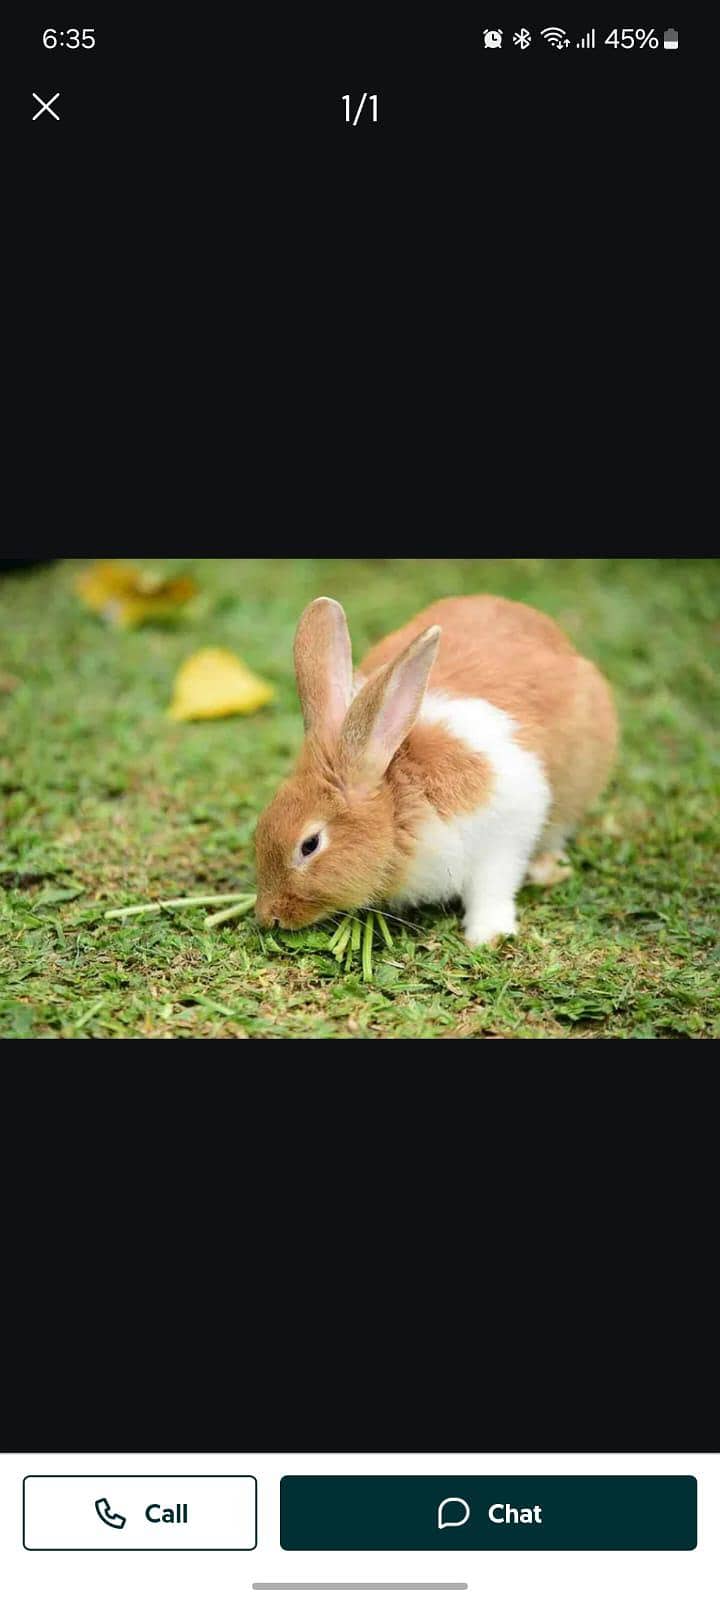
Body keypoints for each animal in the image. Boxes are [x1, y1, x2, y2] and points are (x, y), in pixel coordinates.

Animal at [254, 595, 618, 946]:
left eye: (309, 845)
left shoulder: (505, 831)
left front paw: (487, 936)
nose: (269, 916)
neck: (400, 804)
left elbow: (493, 888)